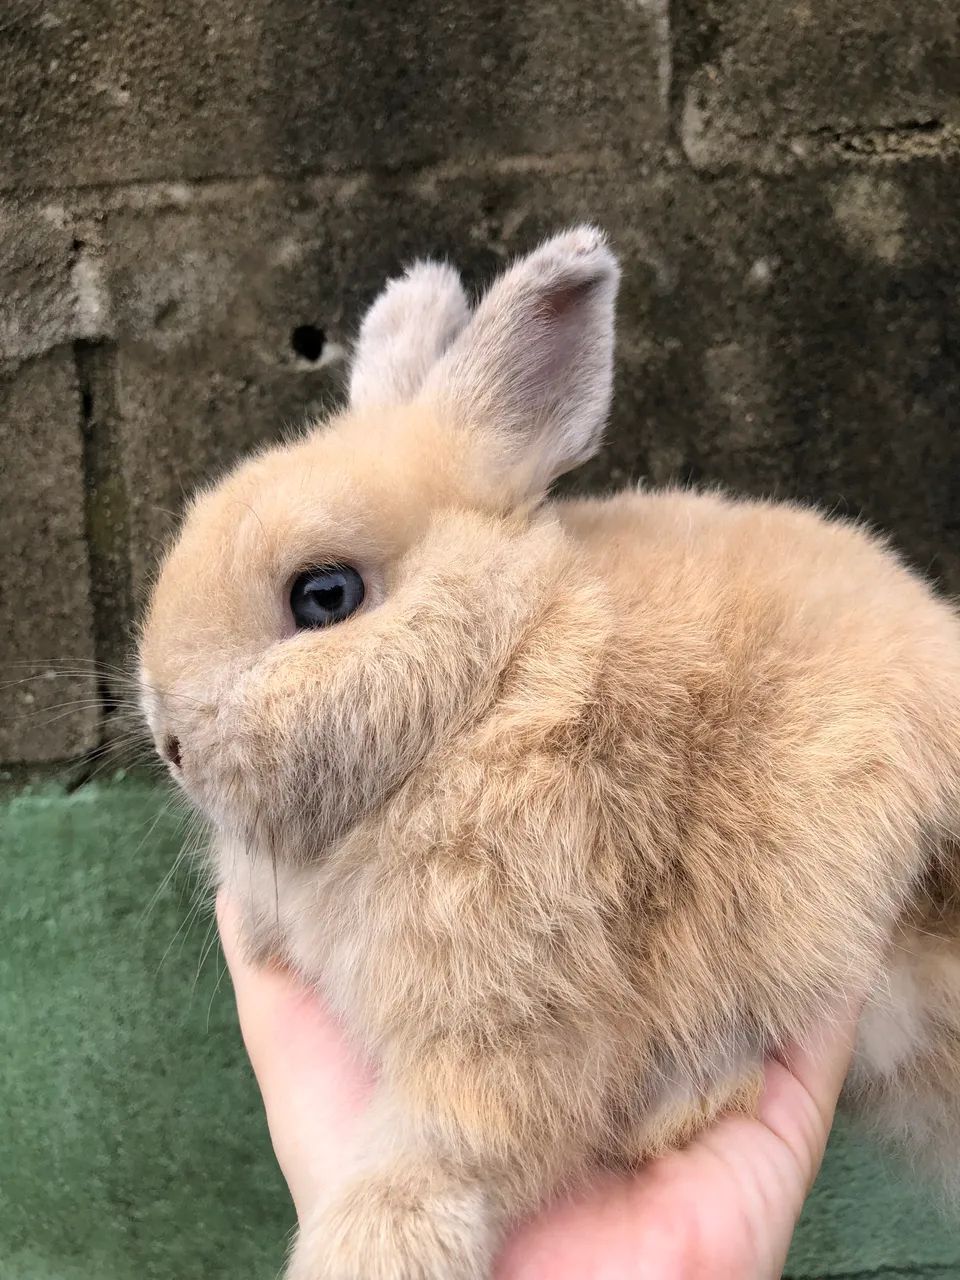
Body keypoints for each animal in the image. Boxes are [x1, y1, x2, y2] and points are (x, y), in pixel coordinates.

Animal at [139, 226, 960, 1280]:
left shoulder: (516, 995)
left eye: (324, 596)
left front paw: (368, 1250)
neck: (492, 683)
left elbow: (461, 1141)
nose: (169, 743)